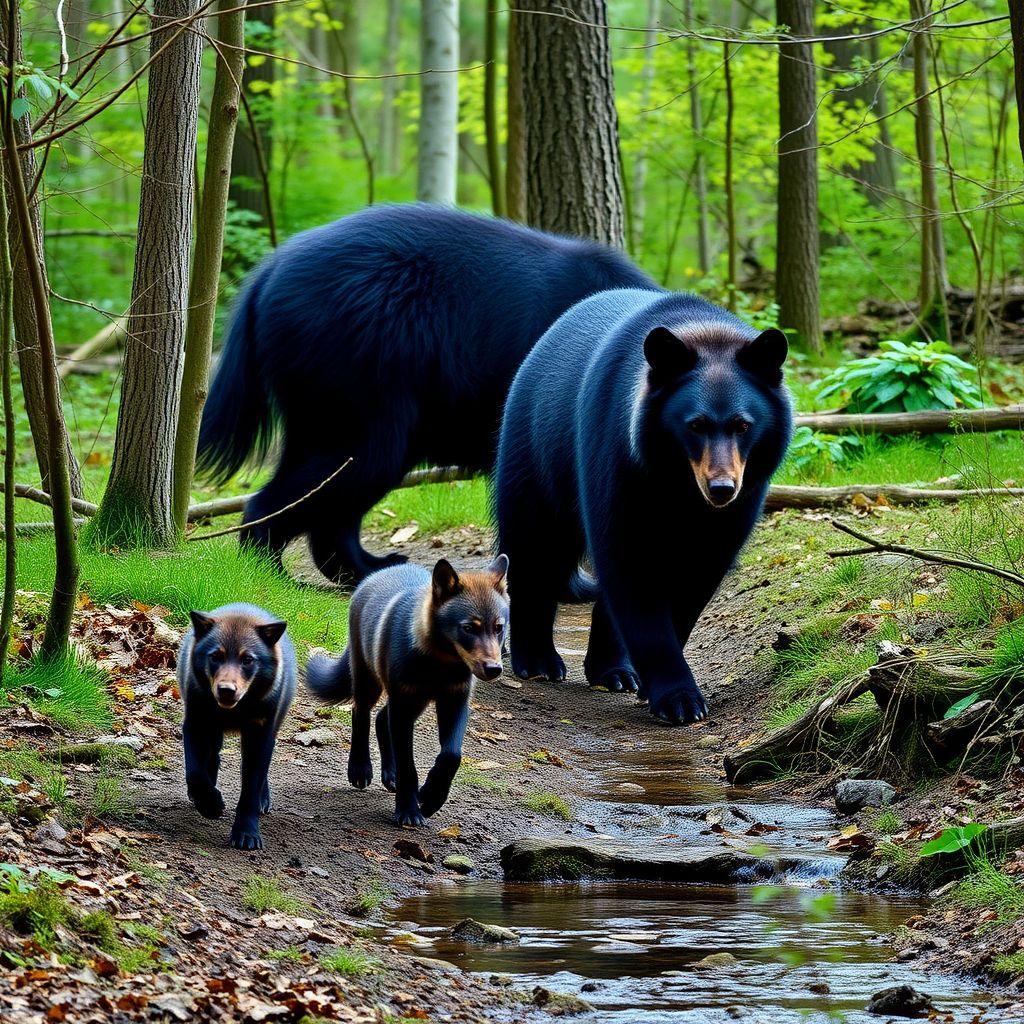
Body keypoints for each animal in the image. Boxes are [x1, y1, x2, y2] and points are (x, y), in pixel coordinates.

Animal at [195, 201, 651, 585]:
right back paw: (267, 572)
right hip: (357, 362)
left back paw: (366, 567)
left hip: (322, 394)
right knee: (358, 464)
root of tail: (269, 272)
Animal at [491, 284, 794, 724]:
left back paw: (614, 671)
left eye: (743, 425)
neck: (680, 486)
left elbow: (695, 578)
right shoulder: (621, 462)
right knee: (533, 548)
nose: (721, 488)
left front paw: (651, 683)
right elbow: (629, 569)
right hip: (533, 455)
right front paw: (679, 699)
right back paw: (538, 662)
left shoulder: (745, 496)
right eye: (695, 424)